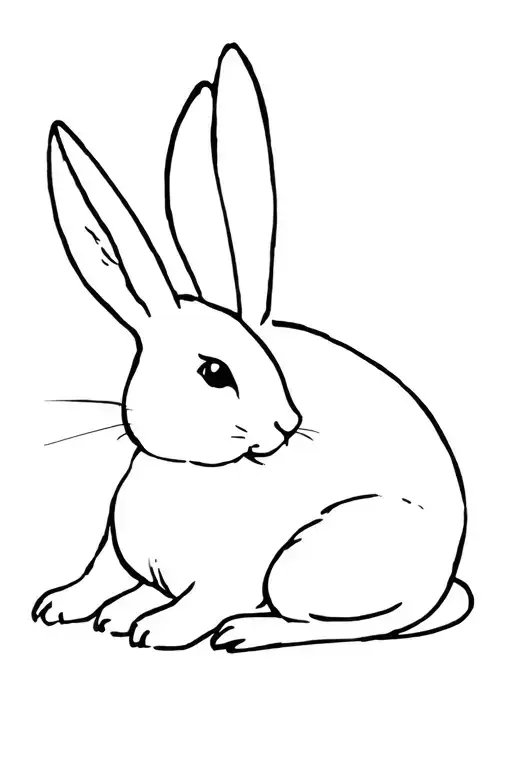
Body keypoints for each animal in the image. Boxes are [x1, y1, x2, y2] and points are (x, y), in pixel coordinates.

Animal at [33, 43, 473, 652]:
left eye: (270, 363)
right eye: (214, 371)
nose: (288, 425)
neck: (186, 470)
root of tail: (441, 580)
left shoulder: (231, 576)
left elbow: (203, 602)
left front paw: (156, 629)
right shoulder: (120, 554)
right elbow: (100, 577)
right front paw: (60, 606)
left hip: (308, 563)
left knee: (324, 625)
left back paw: (238, 632)